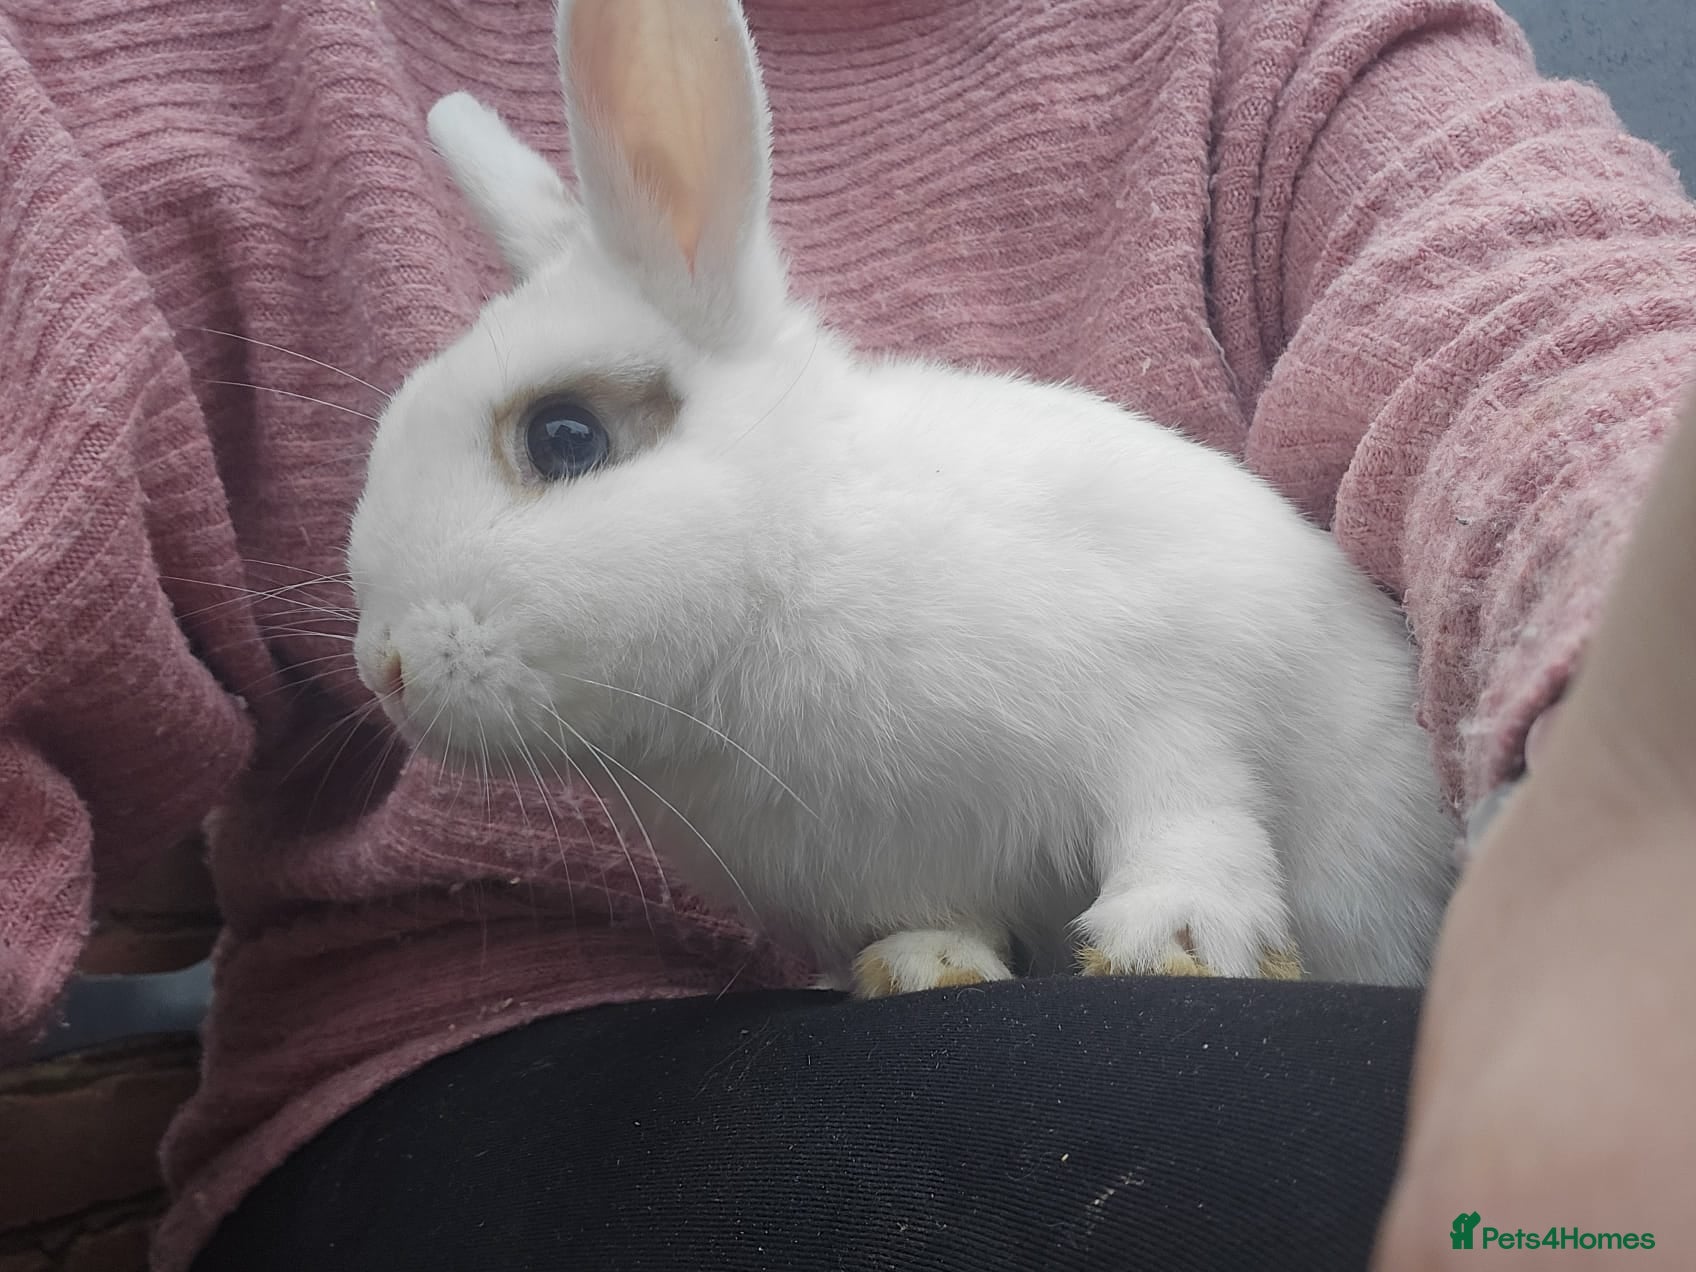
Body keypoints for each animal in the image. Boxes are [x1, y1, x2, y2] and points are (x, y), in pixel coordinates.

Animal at [347, 0, 1457, 997]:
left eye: (563, 437)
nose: (383, 665)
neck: (793, 560)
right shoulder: (905, 862)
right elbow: (944, 918)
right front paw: (924, 966)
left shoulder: (1173, 701)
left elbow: (1192, 818)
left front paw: (1170, 943)